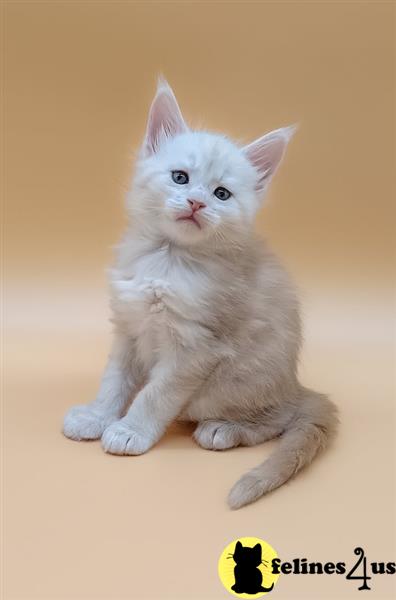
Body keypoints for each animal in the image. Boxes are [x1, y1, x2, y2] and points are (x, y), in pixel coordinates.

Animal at [62, 77, 338, 508]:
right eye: (180, 178)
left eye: (222, 194)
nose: (196, 202)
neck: (167, 260)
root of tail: (296, 386)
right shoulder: (128, 327)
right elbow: (115, 380)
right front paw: (97, 416)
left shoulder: (196, 347)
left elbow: (155, 393)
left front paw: (130, 430)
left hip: (234, 381)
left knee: (279, 418)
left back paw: (225, 429)